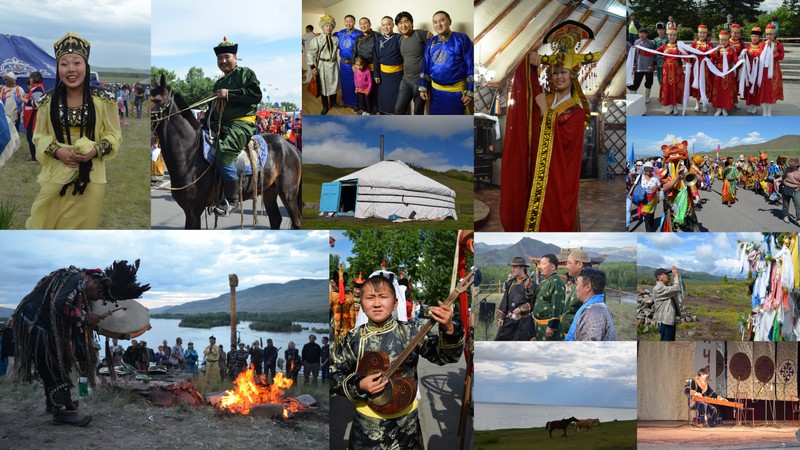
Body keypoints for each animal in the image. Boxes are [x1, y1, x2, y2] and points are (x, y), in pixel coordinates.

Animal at [148, 74, 302, 229]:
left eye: (157, 100)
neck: (190, 154)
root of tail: (290, 147)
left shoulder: (193, 211)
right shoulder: (191, 211)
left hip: (288, 193)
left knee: (296, 221)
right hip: (270, 190)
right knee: (275, 219)